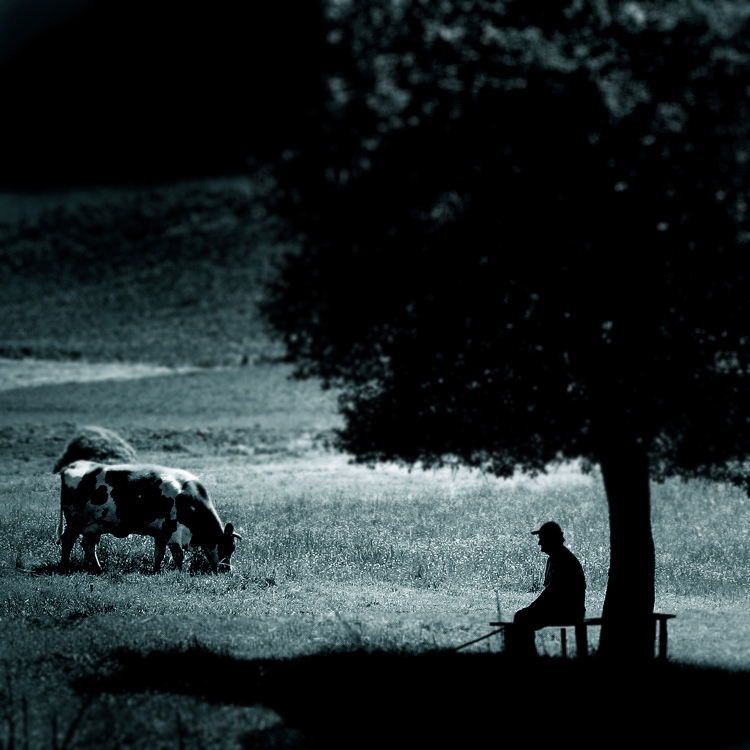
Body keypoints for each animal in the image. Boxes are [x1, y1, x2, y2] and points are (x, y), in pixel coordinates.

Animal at [58, 458, 241, 576]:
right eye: (227, 547)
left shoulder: (161, 533)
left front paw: (156, 570)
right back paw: (64, 567)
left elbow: (159, 553)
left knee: (88, 546)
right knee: (67, 541)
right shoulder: (173, 529)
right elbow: (178, 555)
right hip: (75, 522)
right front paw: (180, 573)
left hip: (94, 526)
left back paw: (98, 568)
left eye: (233, 548)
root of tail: (75, 465)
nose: (227, 570)